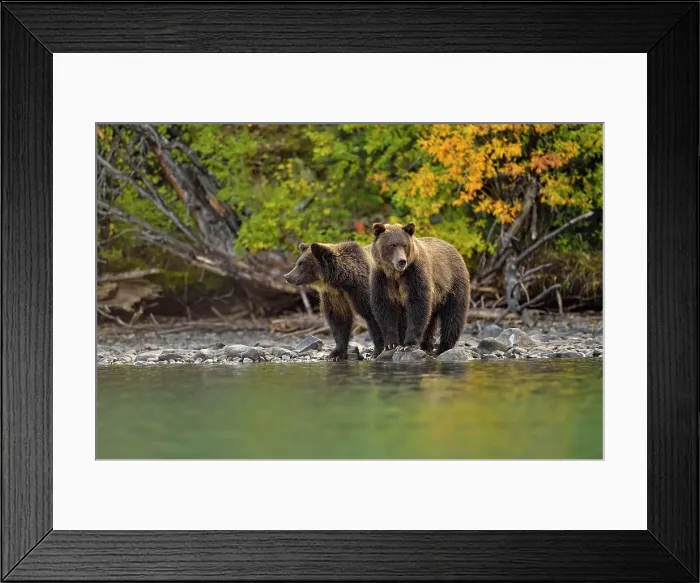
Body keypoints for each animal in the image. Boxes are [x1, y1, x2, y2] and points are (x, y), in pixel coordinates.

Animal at [370, 222, 470, 355]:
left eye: (404, 245)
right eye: (392, 245)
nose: (401, 261)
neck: (396, 274)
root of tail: (453, 248)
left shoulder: (414, 274)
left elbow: (417, 304)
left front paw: (408, 345)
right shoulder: (382, 279)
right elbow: (385, 307)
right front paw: (391, 344)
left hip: (453, 284)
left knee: (453, 315)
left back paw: (443, 347)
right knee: (430, 320)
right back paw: (426, 345)